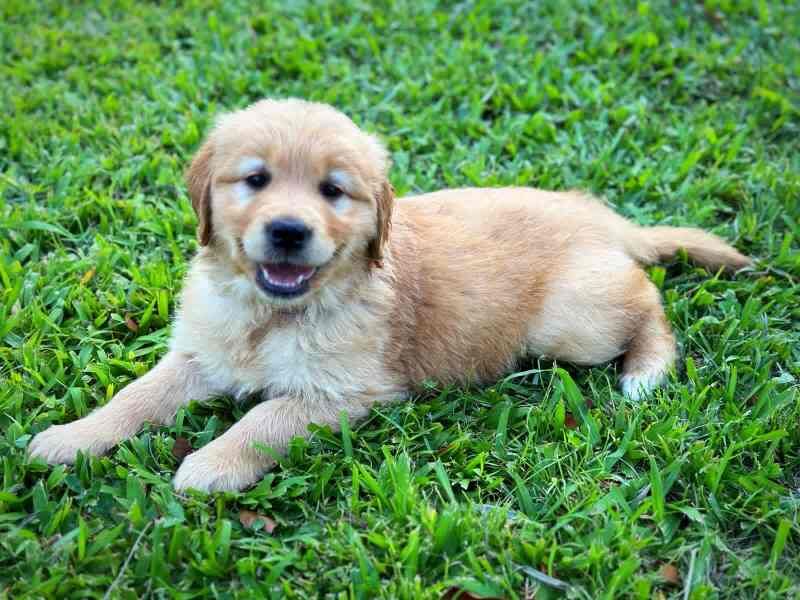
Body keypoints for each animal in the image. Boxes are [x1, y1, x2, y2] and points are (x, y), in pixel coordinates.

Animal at [28, 99, 752, 492]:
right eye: (255, 179)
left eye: (333, 191)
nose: (288, 231)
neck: (274, 313)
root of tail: (602, 217)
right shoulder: (199, 355)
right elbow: (135, 396)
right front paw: (69, 438)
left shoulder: (342, 391)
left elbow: (263, 420)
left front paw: (211, 465)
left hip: (570, 321)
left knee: (649, 301)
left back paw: (645, 370)